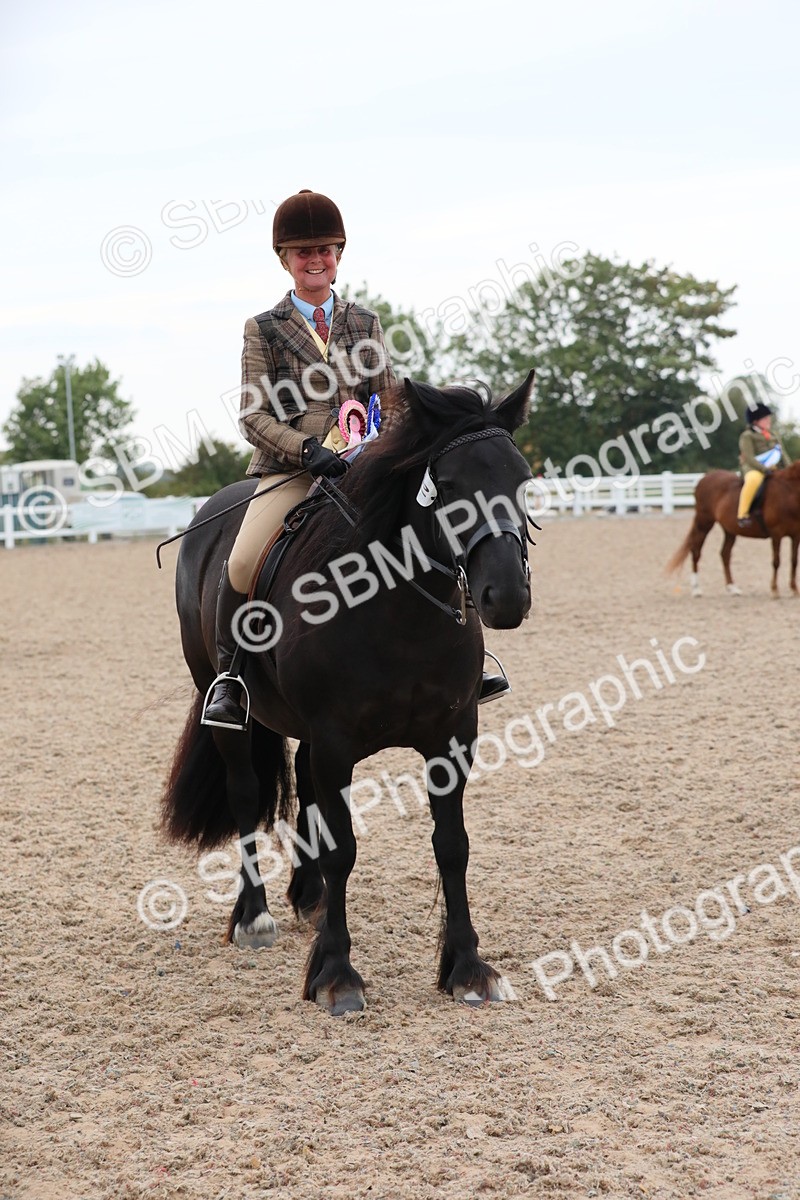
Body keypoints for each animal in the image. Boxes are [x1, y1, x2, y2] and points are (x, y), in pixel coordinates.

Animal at [161, 374, 535, 1014]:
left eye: (522, 479)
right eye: (449, 486)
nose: (506, 595)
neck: (400, 612)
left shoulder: (453, 737)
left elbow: (452, 845)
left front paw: (467, 968)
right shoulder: (337, 742)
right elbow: (342, 848)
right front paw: (336, 975)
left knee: (306, 792)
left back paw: (308, 898)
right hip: (228, 709)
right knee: (246, 794)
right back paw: (254, 916)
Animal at [666, 465, 800, 597]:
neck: (788, 492)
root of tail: (705, 477)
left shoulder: (796, 536)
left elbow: (794, 561)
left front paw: (794, 589)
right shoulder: (776, 534)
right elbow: (776, 561)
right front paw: (775, 590)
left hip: (729, 530)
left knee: (725, 554)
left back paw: (732, 587)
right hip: (704, 523)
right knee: (696, 551)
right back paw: (697, 589)